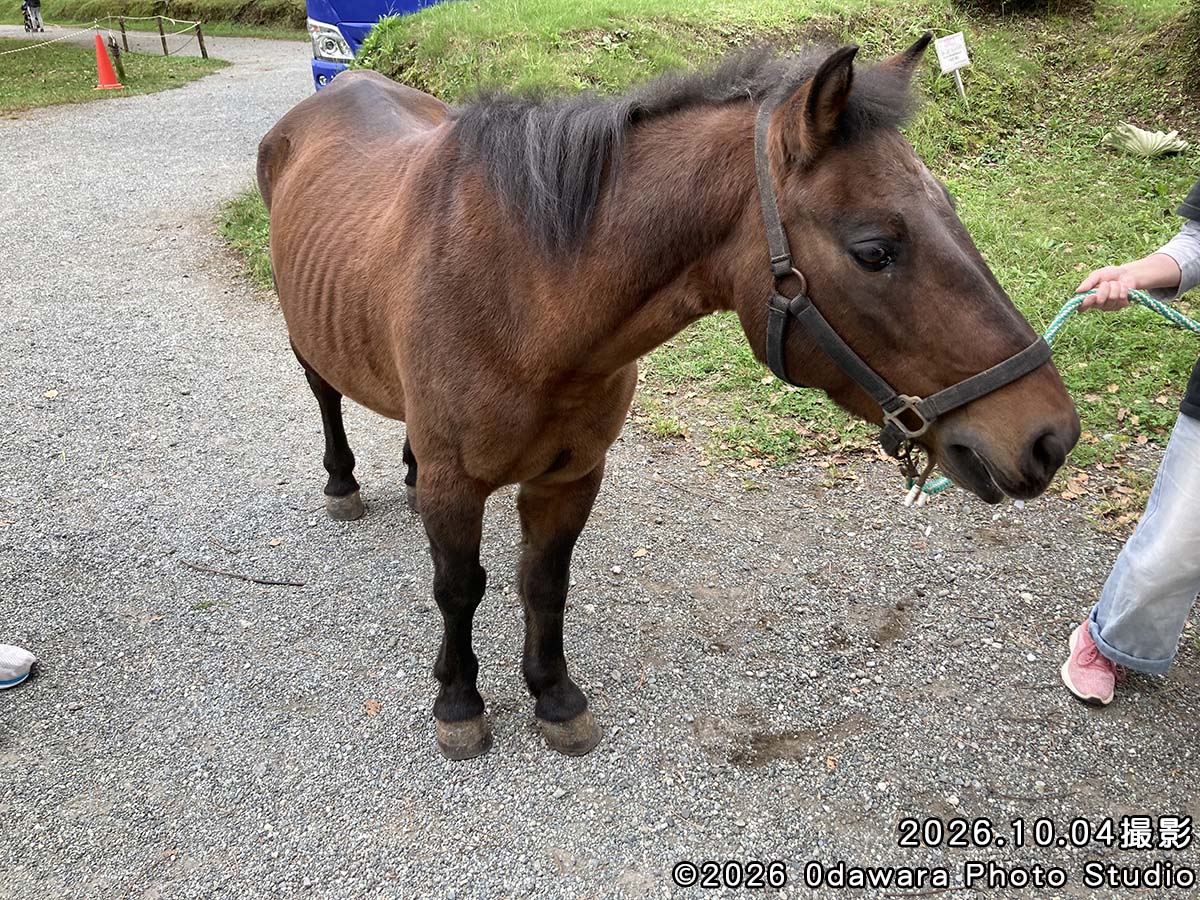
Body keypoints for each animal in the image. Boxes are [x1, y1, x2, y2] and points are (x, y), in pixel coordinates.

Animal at [257, 35, 1080, 761]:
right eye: (874, 249)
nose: (1050, 436)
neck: (519, 290)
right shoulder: (458, 484)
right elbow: (460, 590)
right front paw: (459, 703)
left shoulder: (571, 475)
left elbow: (543, 584)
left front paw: (554, 697)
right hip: (308, 343)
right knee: (326, 397)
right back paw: (342, 482)